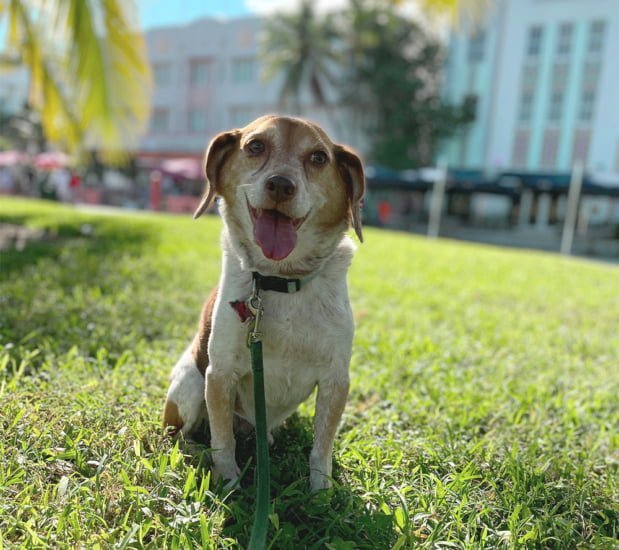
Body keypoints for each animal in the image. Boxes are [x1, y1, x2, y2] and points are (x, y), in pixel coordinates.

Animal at [162, 116, 366, 492]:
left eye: (318, 157)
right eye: (255, 146)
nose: (281, 185)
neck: (280, 280)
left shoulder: (336, 380)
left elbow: (322, 447)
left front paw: (322, 493)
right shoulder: (219, 374)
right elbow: (223, 441)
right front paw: (227, 482)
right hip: (191, 384)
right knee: (182, 435)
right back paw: (198, 450)